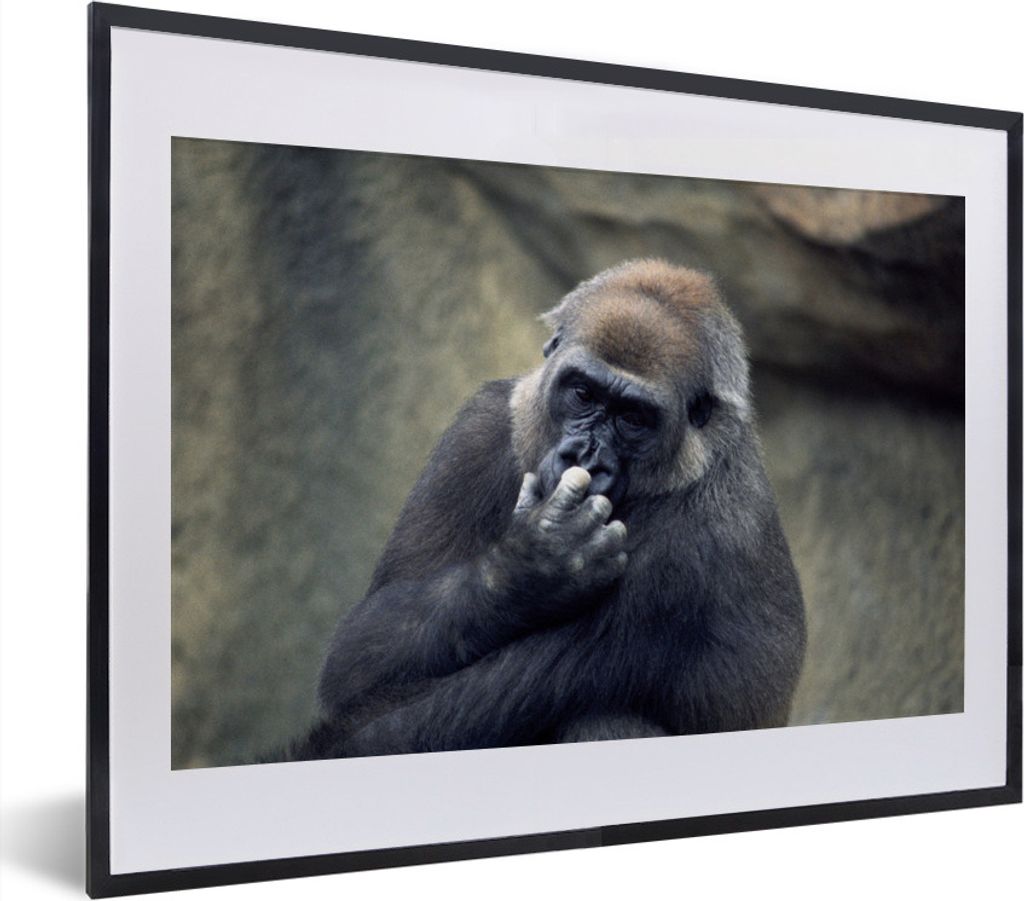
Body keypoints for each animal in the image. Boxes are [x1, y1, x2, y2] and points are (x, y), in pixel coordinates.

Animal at [289, 259, 805, 760]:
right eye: (583, 394)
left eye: (633, 418)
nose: (585, 458)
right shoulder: (481, 423)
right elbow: (360, 650)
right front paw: (532, 567)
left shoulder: (688, 550)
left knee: (602, 720)